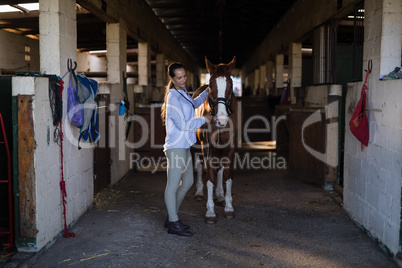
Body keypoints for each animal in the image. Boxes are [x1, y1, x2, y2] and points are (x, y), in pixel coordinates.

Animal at [192, 57, 239, 224]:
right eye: (211, 85)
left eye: (231, 84)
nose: (222, 120)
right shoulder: (207, 148)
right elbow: (209, 177)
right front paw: (210, 211)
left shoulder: (230, 148)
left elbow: (227, 176)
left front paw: (229, 207)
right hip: (197, 148)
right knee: (199, 166)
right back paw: (199, 192)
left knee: (220, 170)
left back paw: (220, 195)